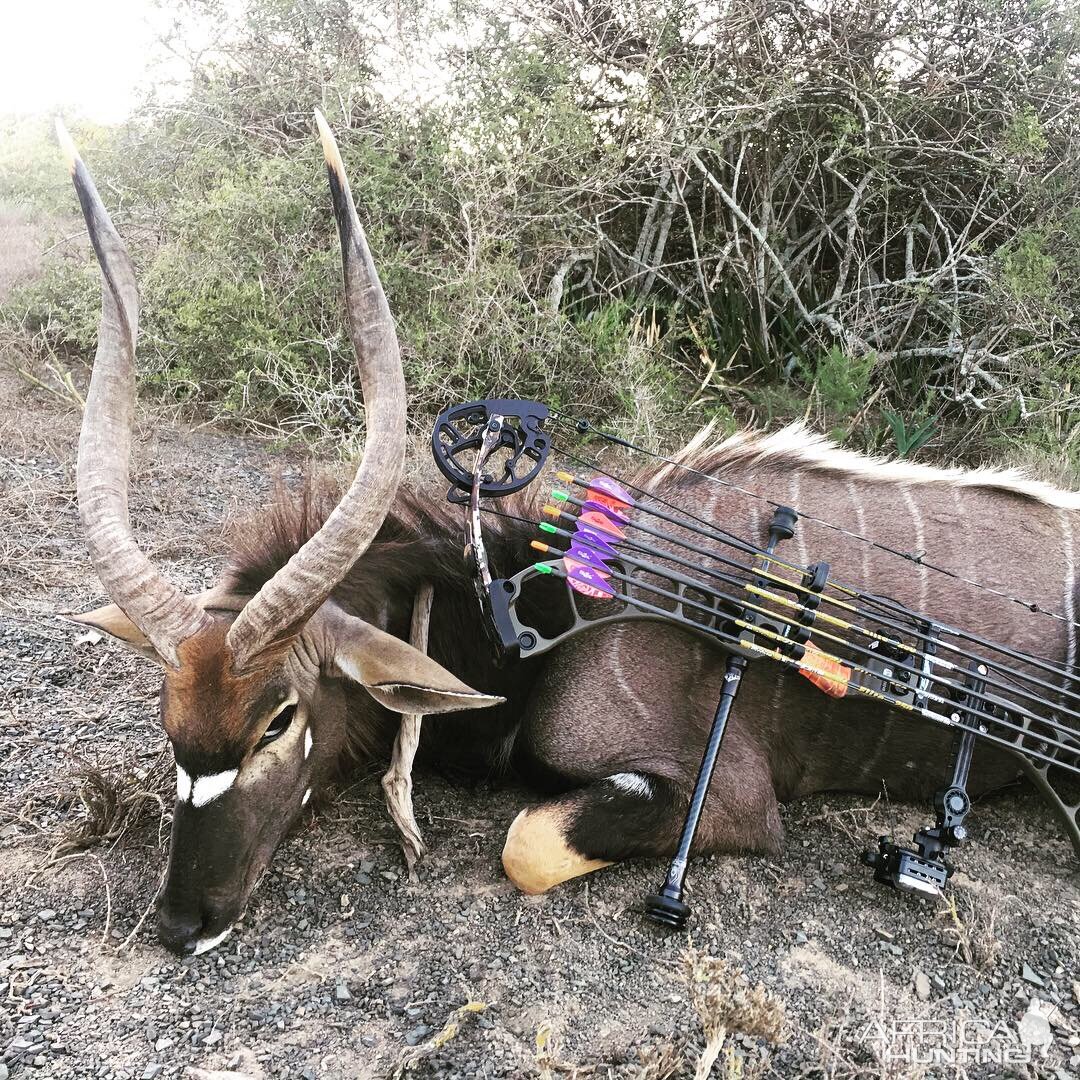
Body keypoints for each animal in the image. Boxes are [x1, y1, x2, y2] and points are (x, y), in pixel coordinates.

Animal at [61, 113, 1080, 950]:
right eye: (169, 720)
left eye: (278, 719)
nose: (183, 923)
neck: (526, 607)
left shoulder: (733, 800)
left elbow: (527, 841)